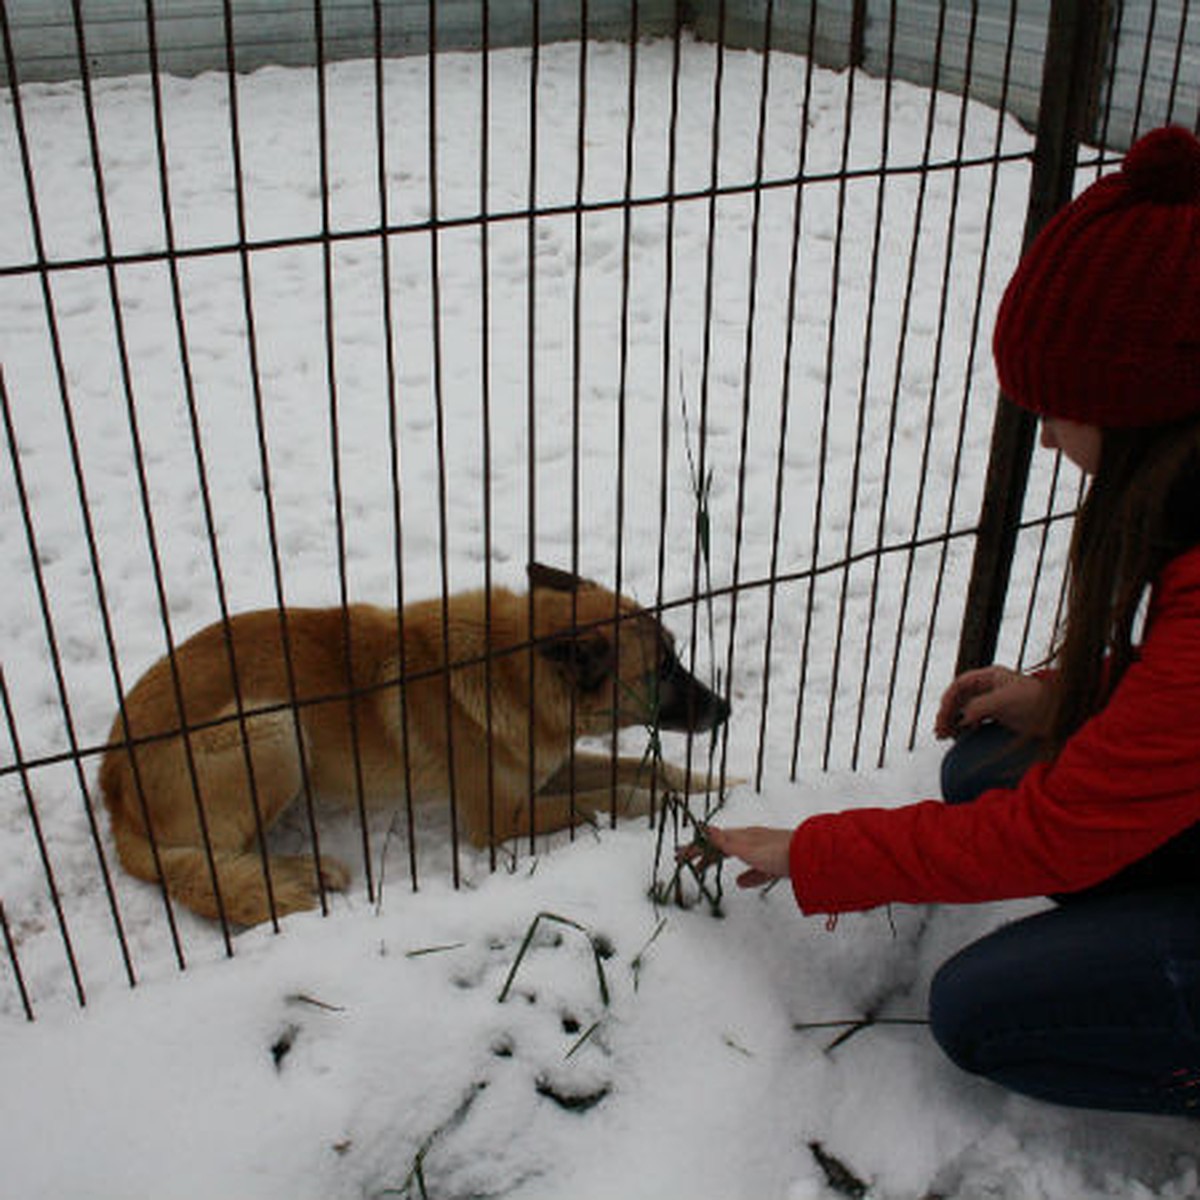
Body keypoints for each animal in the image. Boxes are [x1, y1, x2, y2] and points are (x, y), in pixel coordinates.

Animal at [98, 564, 729, 926]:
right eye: (661, 669)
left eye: (675, 656)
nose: (724, 709)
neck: (513, 670)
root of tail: (112, 789)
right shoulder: (501, 816)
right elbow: (616, 797)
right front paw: (676, 811)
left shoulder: (549, 767)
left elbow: (650, 770)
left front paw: (723, 786)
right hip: (274, 727)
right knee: (219, 857)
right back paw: (305, 870)